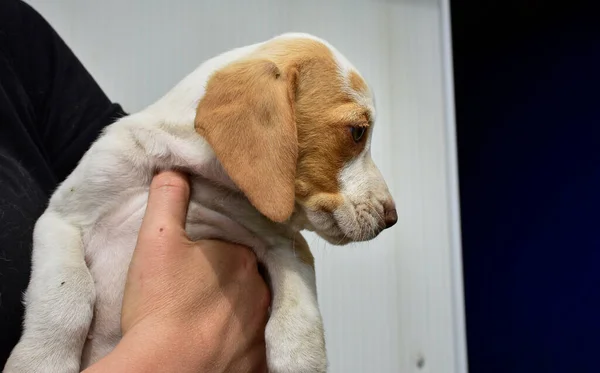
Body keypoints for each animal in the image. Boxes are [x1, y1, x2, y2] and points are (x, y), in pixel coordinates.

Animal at [5, 32, 398, 372]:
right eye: (357, 132)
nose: (392, 218)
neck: (194, 169)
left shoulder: (286, 244)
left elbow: (298, 319)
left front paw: (300, 359)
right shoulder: (63, 218)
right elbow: (67, 293)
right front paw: (40, 361)